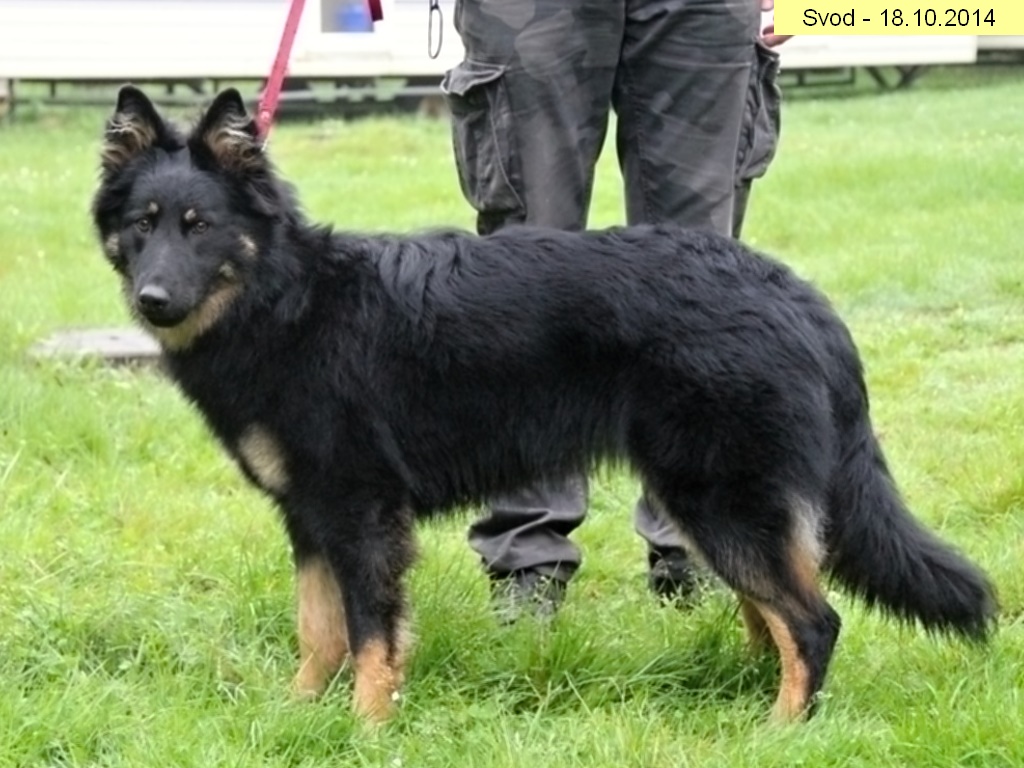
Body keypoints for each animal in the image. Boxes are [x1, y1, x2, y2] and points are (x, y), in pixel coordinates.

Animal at [91, 86, 996, 723]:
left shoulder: (360, 514)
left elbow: (372, 634)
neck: (289, 299)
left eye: (199, 225)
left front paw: (366, 727)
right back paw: (753, 695)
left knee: (812, 621)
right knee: (773, 613)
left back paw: (780, 730)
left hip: (719, 498)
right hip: (723, 506)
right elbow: (320, 632)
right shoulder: (312, 518)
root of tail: (798, 295)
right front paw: (299, 717)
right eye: (143, 224)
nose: (153, 300)